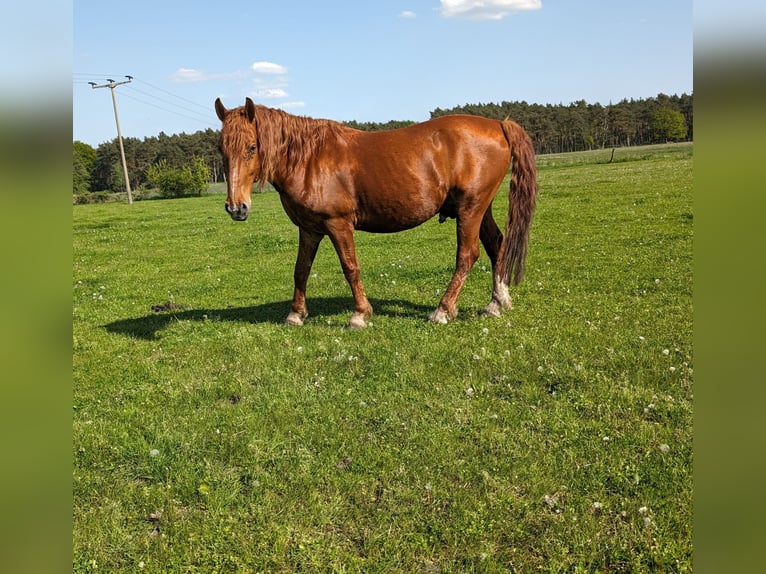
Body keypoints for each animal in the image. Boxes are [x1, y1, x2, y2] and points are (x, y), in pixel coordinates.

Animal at [214, 100, 540, 328]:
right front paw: (296, 314)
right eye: (222, 150)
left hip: (471, 209)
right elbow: (301, 269)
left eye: (252, 147)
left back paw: (443, 310)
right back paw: (497, 303)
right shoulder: (309, 229)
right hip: (479, 208)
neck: (309, 158)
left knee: (468, 255)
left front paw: (360, 315)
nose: (236, 208)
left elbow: (350, 267)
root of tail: (498, 125)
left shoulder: (338, 224)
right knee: (496, 245)